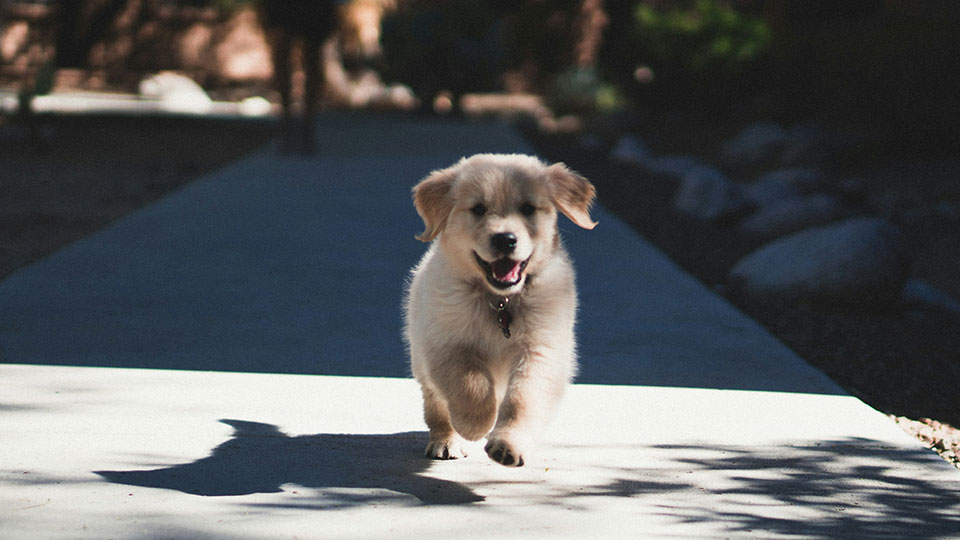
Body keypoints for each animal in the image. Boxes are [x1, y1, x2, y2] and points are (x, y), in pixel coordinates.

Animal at [402, 154, 596, 466]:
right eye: (478, 209)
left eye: (528, 208)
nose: (505, 239)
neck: (500, 301)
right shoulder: (446, 343)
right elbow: (471, 383)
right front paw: (475, 423)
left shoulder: (541, 349)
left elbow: (523, 399)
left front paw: (508, 445)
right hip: (421, 359)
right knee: (436, 406)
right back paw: (447, 440)